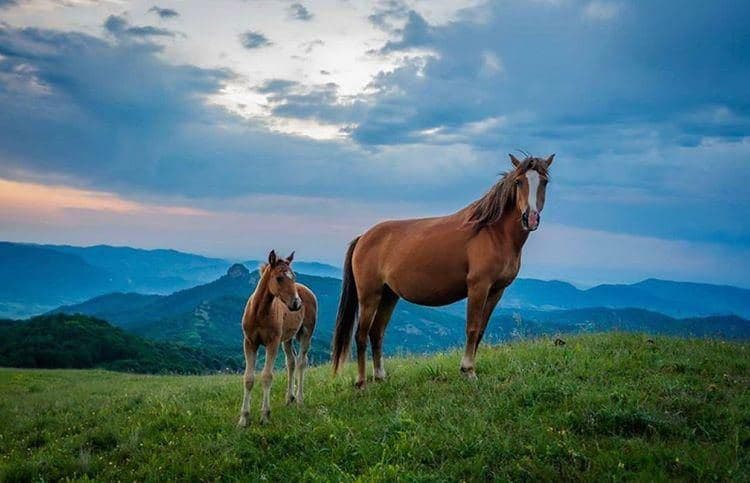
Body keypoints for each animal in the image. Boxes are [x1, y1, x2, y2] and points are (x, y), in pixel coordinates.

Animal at [237, 250, 317, 426]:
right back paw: (289, 399)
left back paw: (299, 400)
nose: (297, 303)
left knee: (301, 362)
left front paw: (265, 416)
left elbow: (267, 376)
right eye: (279, 278)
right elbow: (248, 378)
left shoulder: (272, 343)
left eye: (293, 276)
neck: (259, 313)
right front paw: (244, 418)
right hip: (287, 338)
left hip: (306, 332)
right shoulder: (250, 343)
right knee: (291, 361)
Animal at [332, 153, 554, 387]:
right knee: (361, 334)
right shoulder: (478, 287)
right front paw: (468, 370)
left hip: (388, 295)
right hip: (369, 295)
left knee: (376, 332)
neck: (493, 233)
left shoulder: (496, 291)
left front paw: (469, 368)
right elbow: (472, 327)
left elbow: (481, 330)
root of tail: (363, 238)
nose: (530, 218)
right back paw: (361, 382)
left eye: (545, 182)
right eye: (519, 182)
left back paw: (380, 375)